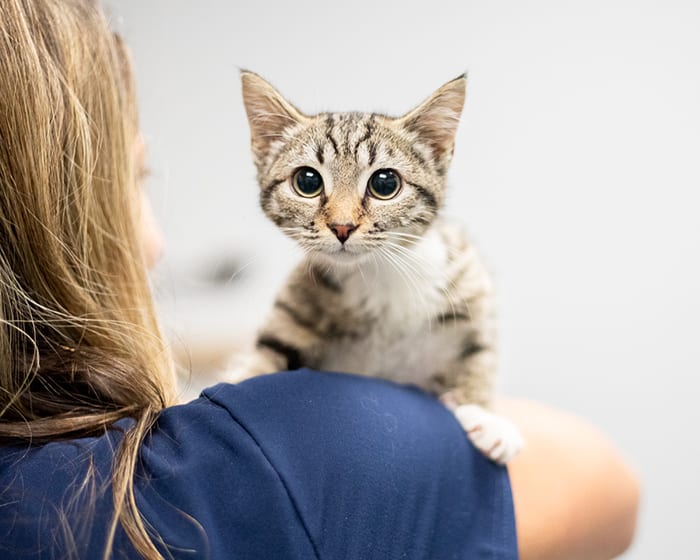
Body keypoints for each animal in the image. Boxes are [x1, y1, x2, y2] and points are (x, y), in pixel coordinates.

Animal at [232, 71, 524, 464]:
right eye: (307, 181)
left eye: (385, 183)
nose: (342, 227)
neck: (381, 274)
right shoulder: (290, 317)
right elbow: (255, 366)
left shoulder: (468, 283)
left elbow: (480, 354)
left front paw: (484, 414)